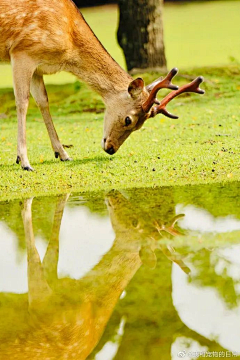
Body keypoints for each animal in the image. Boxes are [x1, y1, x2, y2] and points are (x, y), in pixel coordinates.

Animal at [0, 0, 204, 171]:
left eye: (140, 126)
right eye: (128, 120)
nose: (111, 148)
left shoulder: (39, 67)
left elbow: (43, 101)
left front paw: (63, 154)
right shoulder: (22, 52)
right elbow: (23, 103)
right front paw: (24, 161)